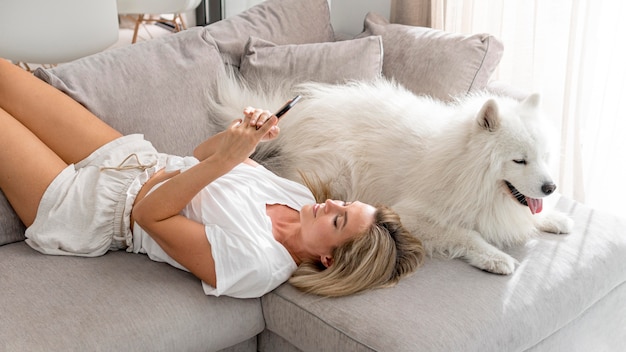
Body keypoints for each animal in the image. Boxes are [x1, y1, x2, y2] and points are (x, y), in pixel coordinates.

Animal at [206, 77, 572, 276]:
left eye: (544, 157)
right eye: (519, 160)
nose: (550, 187)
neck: (465, 168)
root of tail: (305, 112)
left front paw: (555, 219)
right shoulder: (413, 215)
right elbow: (465, 234)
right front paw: (496, 258)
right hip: (340, 169)